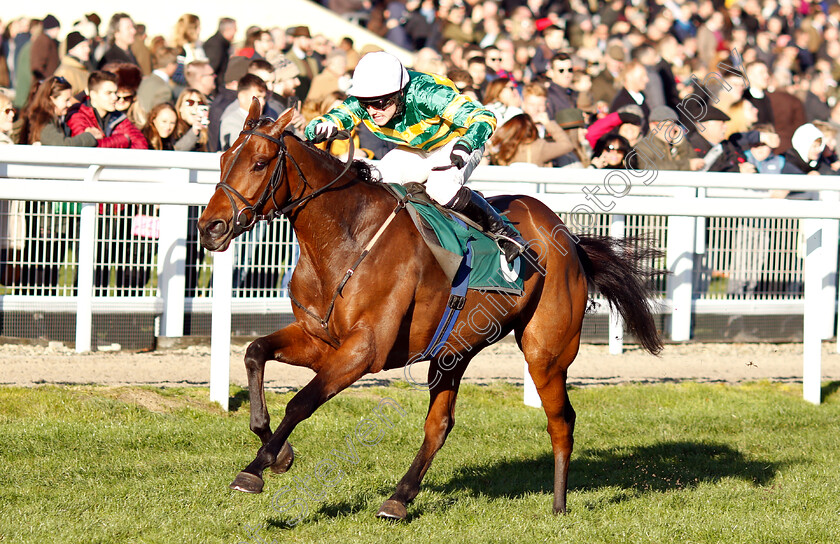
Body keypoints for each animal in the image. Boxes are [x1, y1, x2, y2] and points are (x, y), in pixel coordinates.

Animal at [199, 103, 664, 524]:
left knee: (561, 420)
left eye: (260, 162)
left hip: (546, 352)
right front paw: (278, 455)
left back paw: (559, 505)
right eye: (222, 158)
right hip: (454, 351)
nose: (210, 228)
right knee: (439, 425)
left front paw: (254, 470)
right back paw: (398, 499)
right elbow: (255, 353)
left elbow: (300, 403)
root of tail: (568, 236)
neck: (350, 238)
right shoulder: (319, 339)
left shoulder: (364, 351)